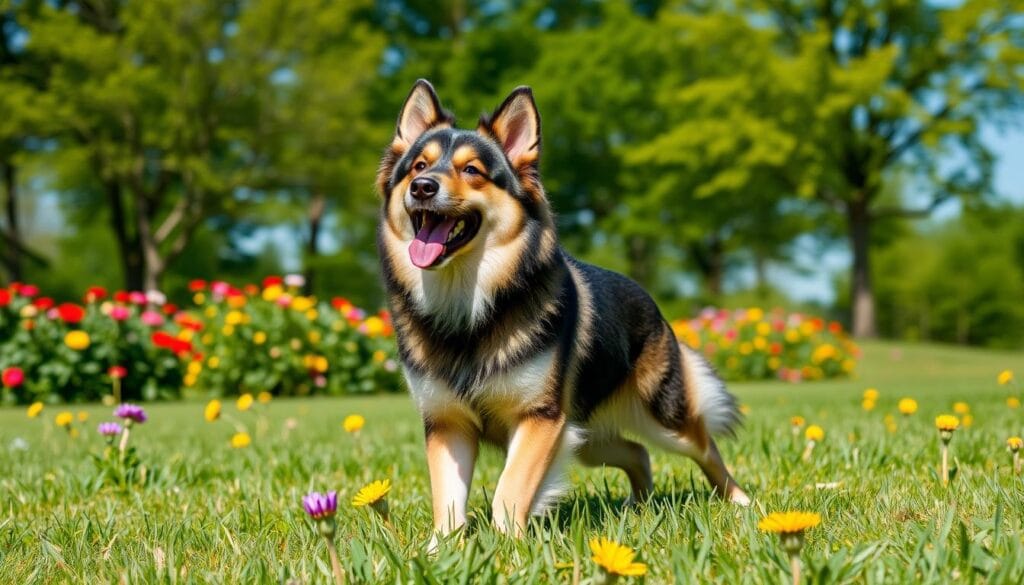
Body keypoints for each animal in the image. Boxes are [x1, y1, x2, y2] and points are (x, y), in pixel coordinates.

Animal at [376, 79, 753, 536]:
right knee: (637, 452)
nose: (423, 187)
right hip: (586, 437)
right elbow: (447, 501)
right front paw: (442, 547)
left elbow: (509, 491)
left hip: (661, 416)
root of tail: (650, 300)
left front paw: (507, 542)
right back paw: (639, 506)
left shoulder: (541, 418)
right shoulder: (448, 423)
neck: (467, 309)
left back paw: (741, 501)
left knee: (705, 446)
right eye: (418, 166)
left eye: (472, 171)